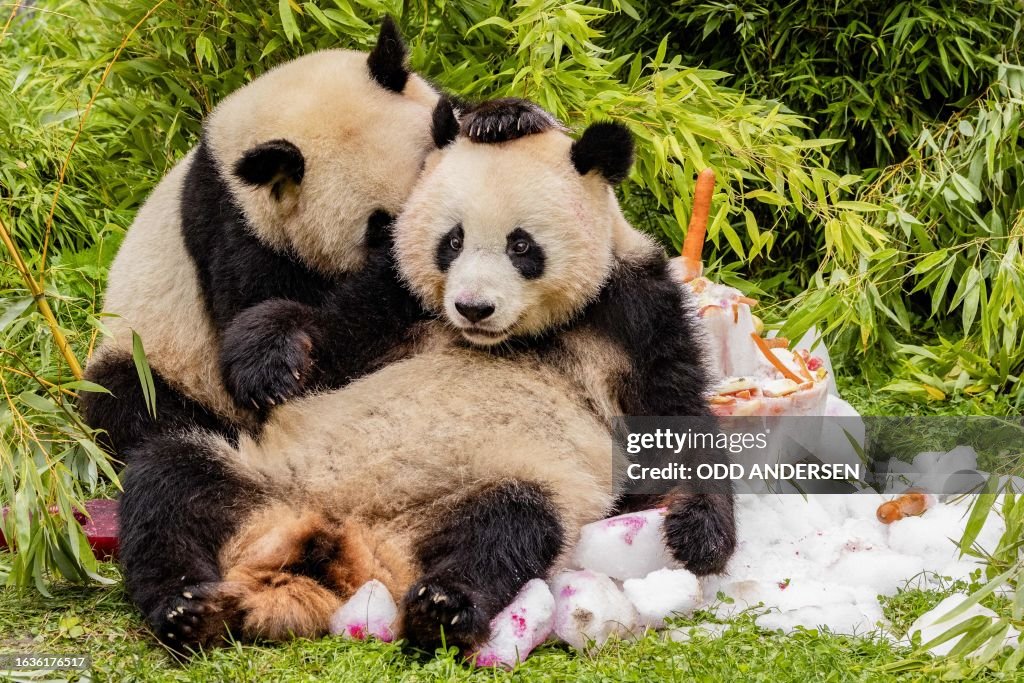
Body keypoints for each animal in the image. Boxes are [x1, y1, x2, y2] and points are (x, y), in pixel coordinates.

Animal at [118, 98, 736, 654]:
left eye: (521, 245)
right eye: (452, 240)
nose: (473, 307)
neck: (515, 337)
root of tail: (337, 546)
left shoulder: (634, 308)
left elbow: (673, 416)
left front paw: (699, 534)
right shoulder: (398, 297)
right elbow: (332, 327)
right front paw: (271, 363)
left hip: (481, 485)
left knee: (510, 526)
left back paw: (443, 604)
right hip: (266, 475)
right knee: (168, 482)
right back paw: (186, 610)